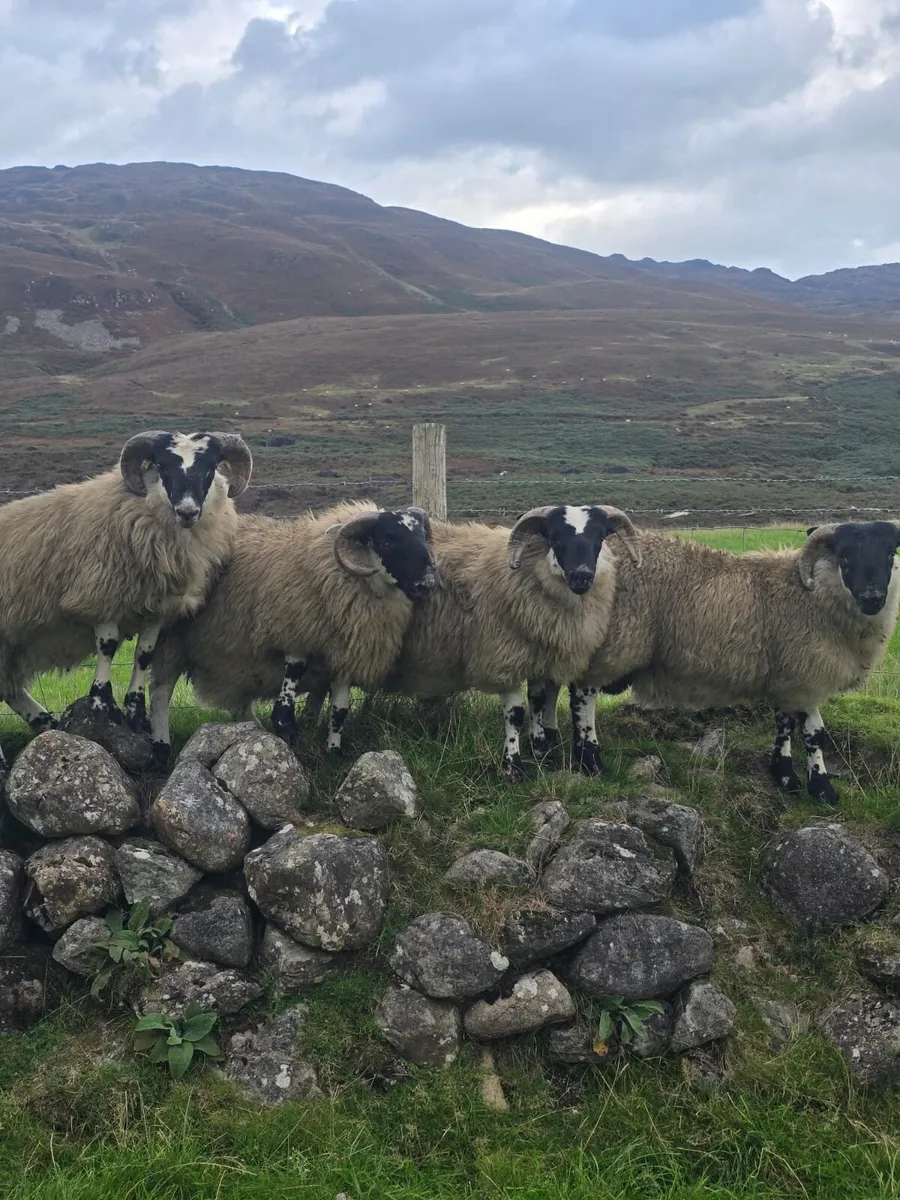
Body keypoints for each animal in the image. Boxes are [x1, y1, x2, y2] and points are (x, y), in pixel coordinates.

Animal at [0, 430, 252, 773]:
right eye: (162, 467)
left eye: (211, 468)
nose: (188, 512)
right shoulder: (102, 592)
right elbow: (106, 647)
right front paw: (103, 703)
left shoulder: (159, 607)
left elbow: (144, 655)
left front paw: (136, 711)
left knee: (8, 688)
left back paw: (45, 723)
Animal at [146, 502, 437, 761]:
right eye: (387, 542)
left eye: (423, 538)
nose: (427, 583)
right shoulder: (294, 632)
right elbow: (285, 706)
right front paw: (288, 737)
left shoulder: (344, 649)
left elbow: (339, 709)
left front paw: (334, 753)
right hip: (171, 640)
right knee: (160, 693)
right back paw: (161, 748)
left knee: (238, 704)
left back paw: (252, 731)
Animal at [527, 520, 900, 803]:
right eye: (845, 557)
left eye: (890, 554)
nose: (872, 598)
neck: (811, 594)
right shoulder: (805, 671)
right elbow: (815, 733)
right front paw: (821, 789)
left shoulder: (786, 674)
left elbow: (784, 724)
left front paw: (785, 777)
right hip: (612, 642)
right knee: (581, 695)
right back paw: (589, 760)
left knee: (547, 687)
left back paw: (546, 742)